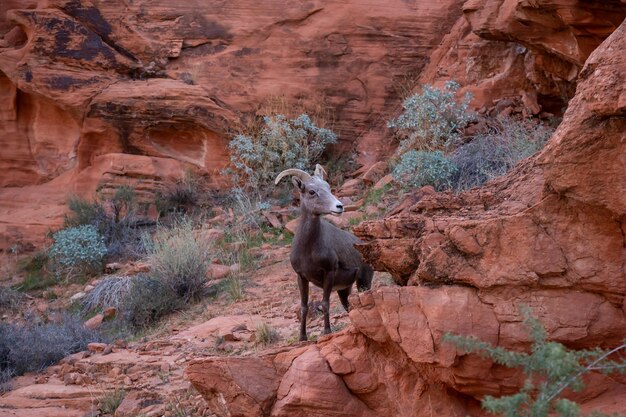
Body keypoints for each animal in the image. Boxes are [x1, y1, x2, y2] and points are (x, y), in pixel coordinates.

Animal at [272, 164, 370, 340]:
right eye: (311, 191)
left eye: (328, 187)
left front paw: (327, 331)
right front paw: (302, 338)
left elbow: (325, 304)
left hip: (364, 282)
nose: (339, 206)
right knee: (348, 306)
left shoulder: (329, 273)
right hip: (345, 290)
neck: (308, 249)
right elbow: (304, 307)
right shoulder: (301, 277)